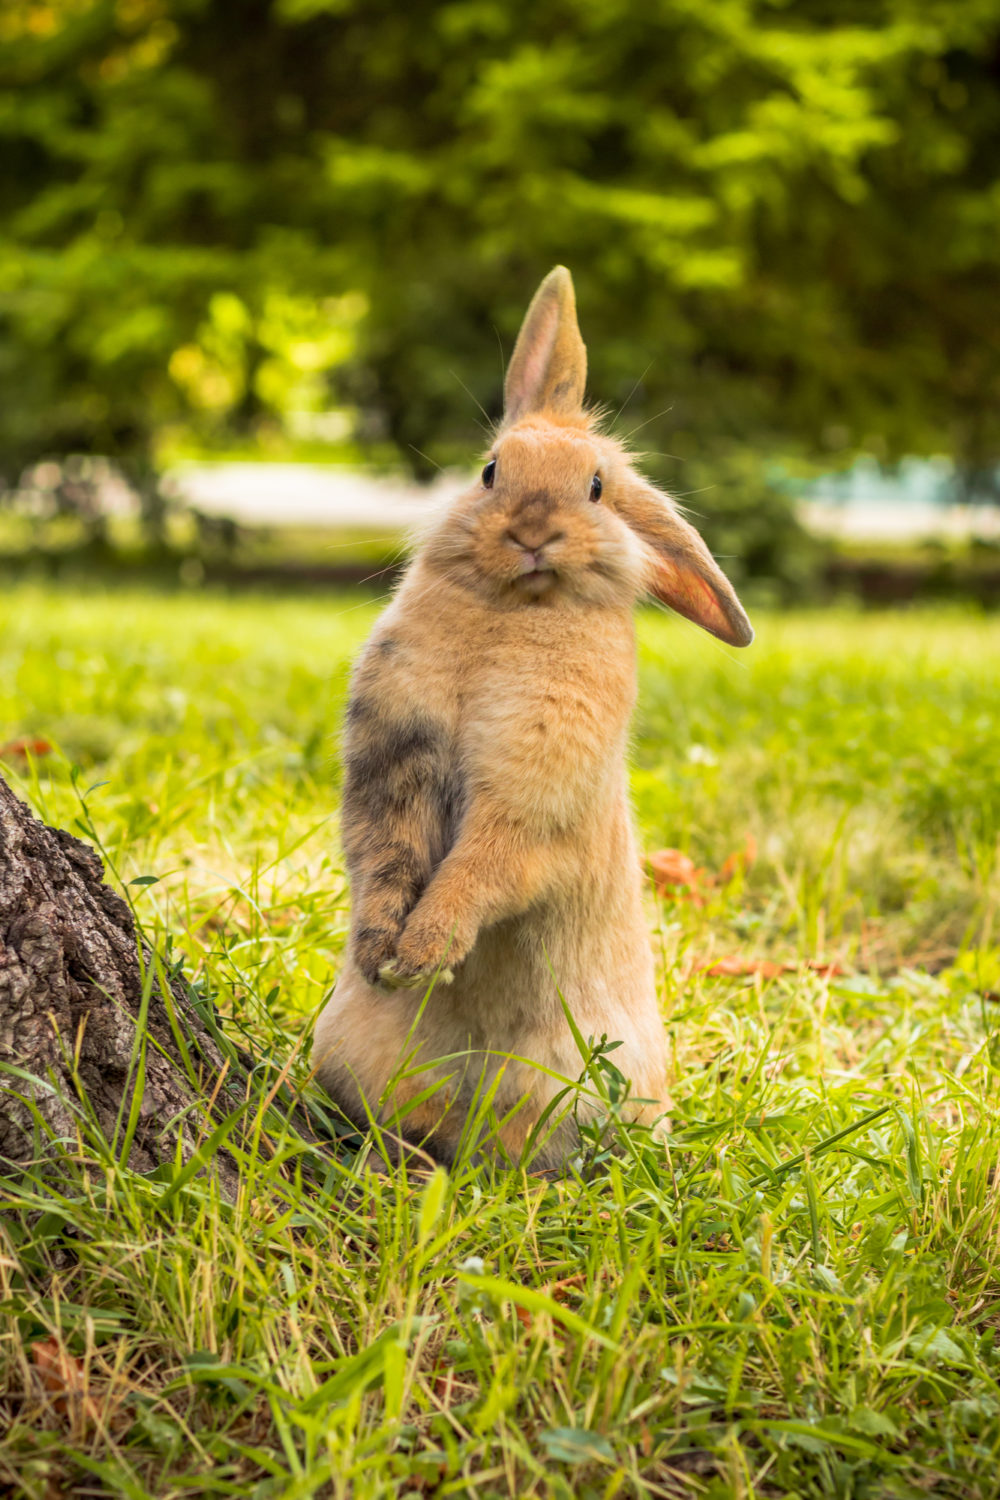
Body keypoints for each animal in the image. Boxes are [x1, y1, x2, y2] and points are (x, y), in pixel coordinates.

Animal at [312, 266, 753, 1169]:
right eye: (489, 471)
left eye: (596, 487)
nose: (531, 530)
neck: (511, 613)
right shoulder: (392, 764)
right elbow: (383, 855)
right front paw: (382, 955)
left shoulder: (531, 799)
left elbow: (483, 867)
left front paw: (424, 951)